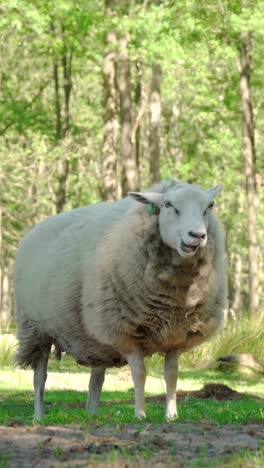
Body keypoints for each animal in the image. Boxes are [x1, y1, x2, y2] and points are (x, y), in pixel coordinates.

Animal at [12, 180, 227, 420]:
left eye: (209, 206)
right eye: (169, 205)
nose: (197, 235)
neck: (174, 298)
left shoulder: (176, 336)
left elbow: (172, 375)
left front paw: (171, 415)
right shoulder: (126, 332)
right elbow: (139, 374)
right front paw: (140, 414)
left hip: (94, 338)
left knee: (96, 380)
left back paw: (92, 414)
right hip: (37, 328)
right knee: (40, 377)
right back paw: (39, 416)